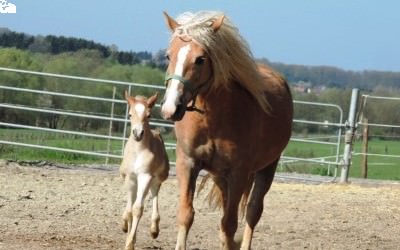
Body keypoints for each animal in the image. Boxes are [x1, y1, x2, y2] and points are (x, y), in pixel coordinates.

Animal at [119, 91, 169, 250]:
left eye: (149, 115)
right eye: (130, 114)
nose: (138, 133)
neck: (138, 151)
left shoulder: (145, 176)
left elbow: (137, 209)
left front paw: (130, 243)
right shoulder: (130, 177)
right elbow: (130, 210)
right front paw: (126, 229)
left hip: (156, 179)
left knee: (154, 194)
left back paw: (154, 229)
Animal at [160, 10, 294, 249]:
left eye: (200, 59)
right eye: (168, 56)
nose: (170, 108)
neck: (213, 120)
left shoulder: (239, 172)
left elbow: (230, 223)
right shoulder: (188, 163)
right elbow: (186, 215)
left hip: (267, 167)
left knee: (252, 211)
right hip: (219, 176)